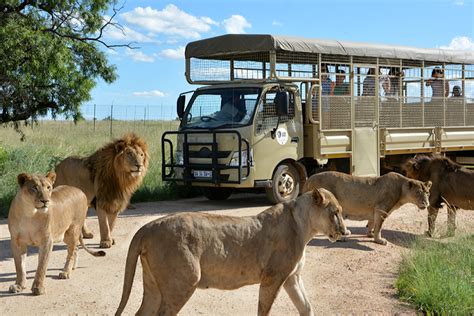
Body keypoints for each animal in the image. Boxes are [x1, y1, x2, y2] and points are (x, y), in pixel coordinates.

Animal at [114, 189, 344, 314]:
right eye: (336, 212)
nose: (345, 231)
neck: (305, 227)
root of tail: (147, 227)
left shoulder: (292, 278)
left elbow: (306, 307)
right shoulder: (273, 277)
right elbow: (264, 309)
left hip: (154, 285)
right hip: (183, 283)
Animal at [302, 172, 432, 246]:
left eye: (427, 193)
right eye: (418, 193)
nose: (426, 203)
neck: (401, 189)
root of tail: (309, 178)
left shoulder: (375, 210)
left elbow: (372, 223)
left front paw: (370, 234)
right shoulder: (382, 209)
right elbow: (379, 226)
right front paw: (379, 240)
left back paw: (346, 232)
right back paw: (340, 237)